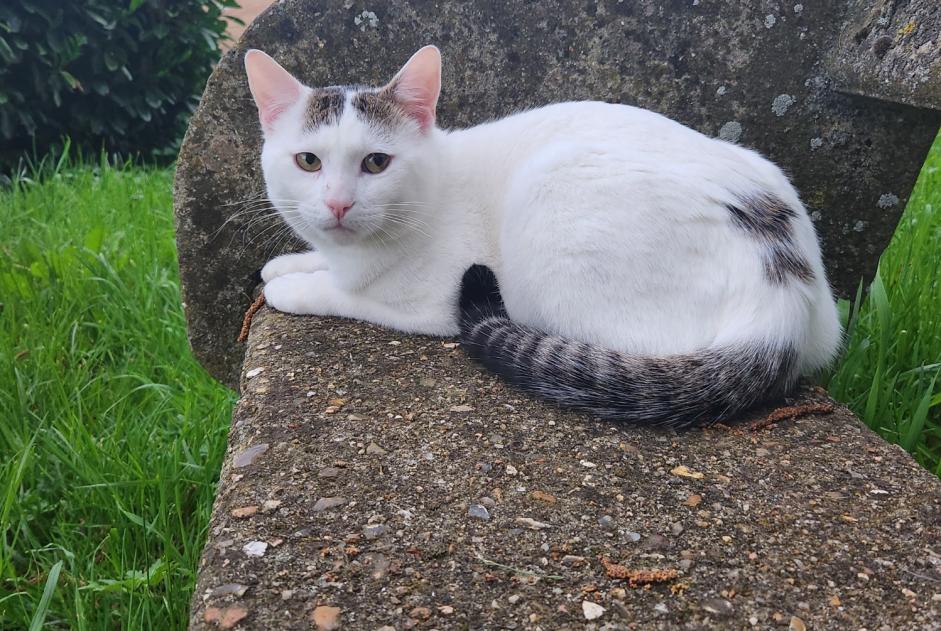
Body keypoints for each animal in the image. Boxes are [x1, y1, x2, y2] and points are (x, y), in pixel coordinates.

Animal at [246, 47, 840, 428]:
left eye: (376, 162)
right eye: (308, 161)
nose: (338, 203)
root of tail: (785, 290)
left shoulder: (430, 303)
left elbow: (351, 295)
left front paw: (293, 287)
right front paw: (292, 262)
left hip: (548, 203)